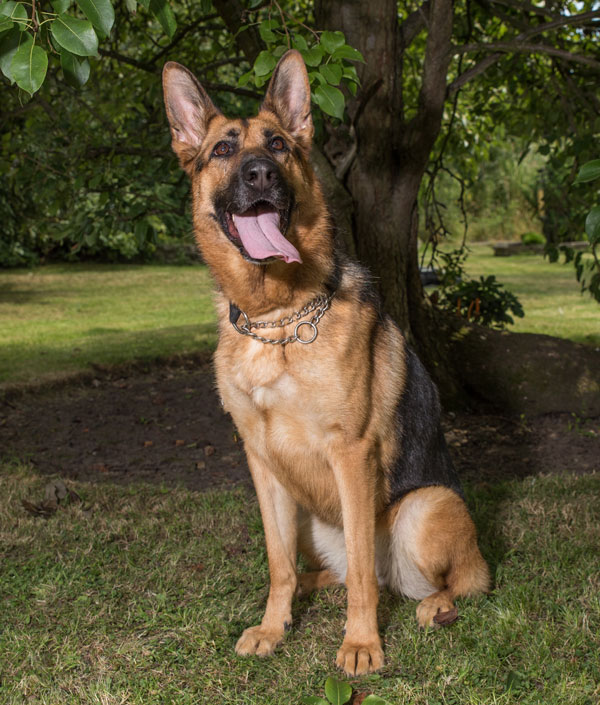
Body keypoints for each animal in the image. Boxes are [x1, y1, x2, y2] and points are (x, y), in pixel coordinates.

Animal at [162, 49, 490, 676]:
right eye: (223, 149)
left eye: (279, 145)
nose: (261, 174)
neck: (278, 320)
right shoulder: (261, 462)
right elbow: (277, 562)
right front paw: (274, 625)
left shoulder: (351, 453)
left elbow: (362, 571)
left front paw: (361, 644)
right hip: (309, 519)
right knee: (325, 570)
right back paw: (307, 592)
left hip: (424, 508)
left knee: (453, 581)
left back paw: (433, 607)